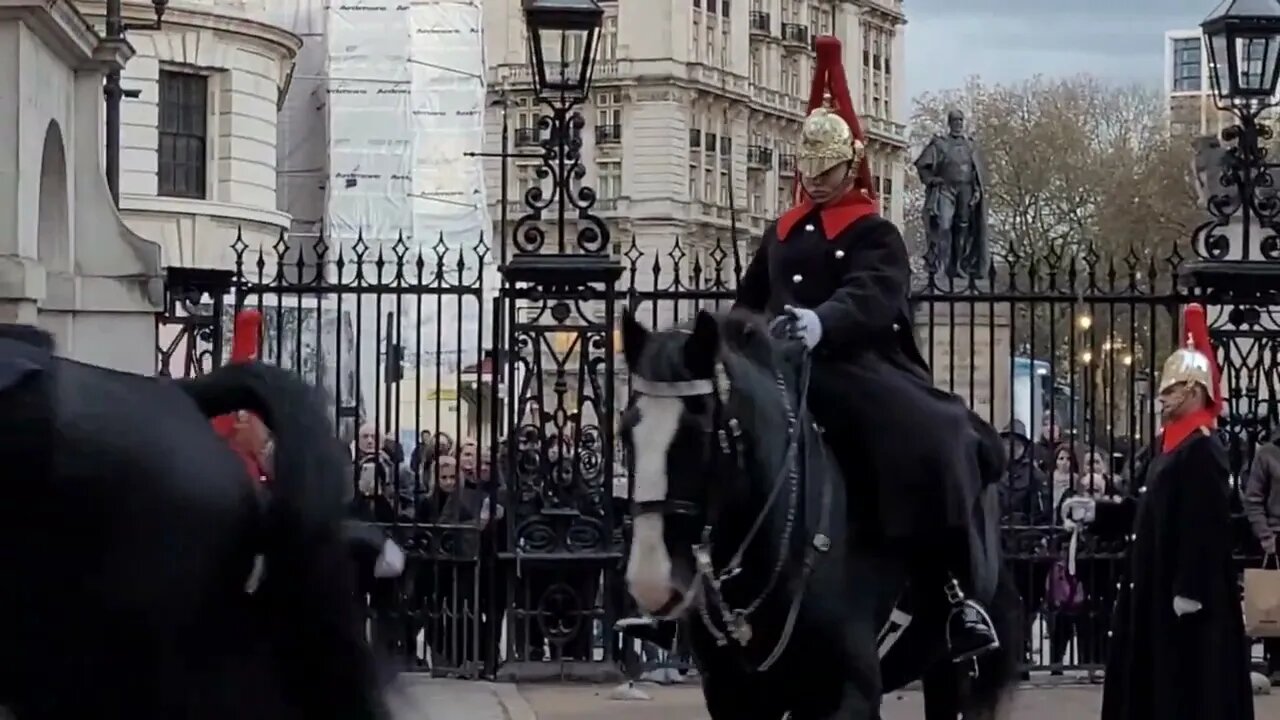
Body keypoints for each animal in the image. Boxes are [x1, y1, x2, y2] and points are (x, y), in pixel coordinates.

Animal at [619, 312, 1018, 717]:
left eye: (698, 433)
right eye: (624, 432)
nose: (651, 582)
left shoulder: (848, 693)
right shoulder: (733, 694)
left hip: (952, 669)